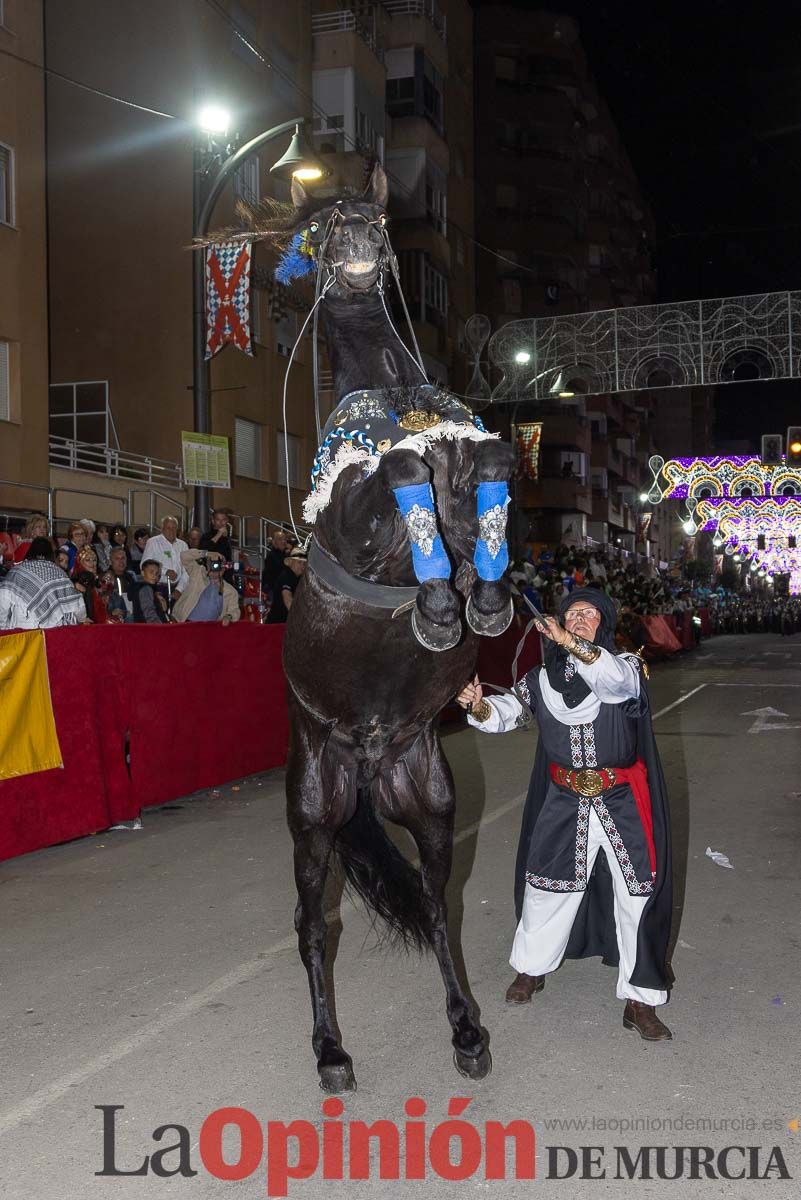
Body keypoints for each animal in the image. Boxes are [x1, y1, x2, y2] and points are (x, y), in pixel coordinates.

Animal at [281, 164, 515, 1094]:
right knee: (314, 928)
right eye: (316, 227)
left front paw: (483, 598)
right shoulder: (355, 518)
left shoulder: (472, 458)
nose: (353, 243)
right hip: (313, 815)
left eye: (376, 217)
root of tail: (369, 766)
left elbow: (487, 460)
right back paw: (329, 1053)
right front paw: (441, 605)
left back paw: (467, 1032)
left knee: (438, 910)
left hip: (432, 804)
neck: (393, 393)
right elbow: (404, 467)